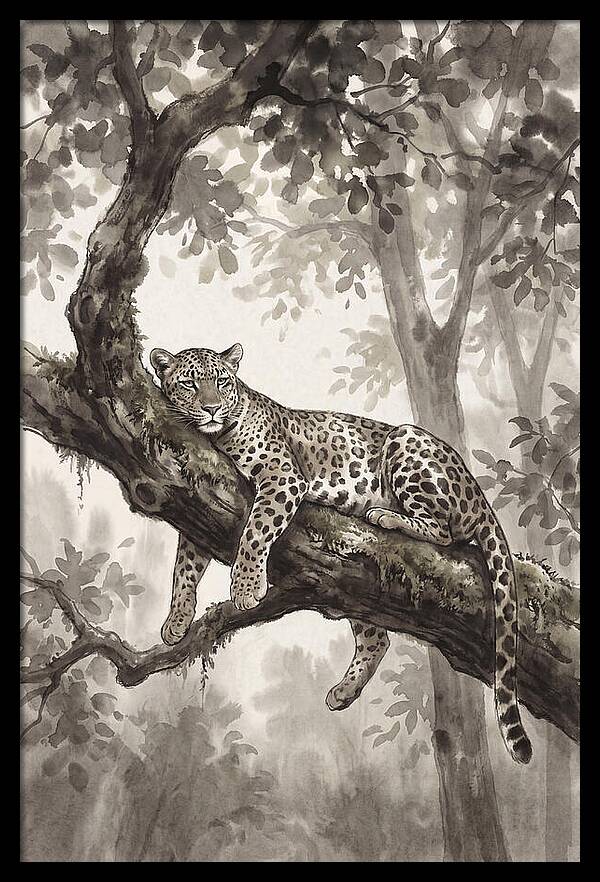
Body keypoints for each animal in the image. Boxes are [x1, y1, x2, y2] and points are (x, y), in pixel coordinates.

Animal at [150, 343, 532, 765]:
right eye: (189, 384)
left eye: (221, 382)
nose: (213, 408)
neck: (218, 437)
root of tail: (478, 493)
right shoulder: (202, 497)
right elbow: (185, 566)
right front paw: (177, 620)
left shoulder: (282, 477)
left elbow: (254, 532)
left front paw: (247, 588)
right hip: (355, 588)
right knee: (376, 639)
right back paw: (344, 692)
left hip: (406, 442)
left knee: (443, 531)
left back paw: (385, 515)